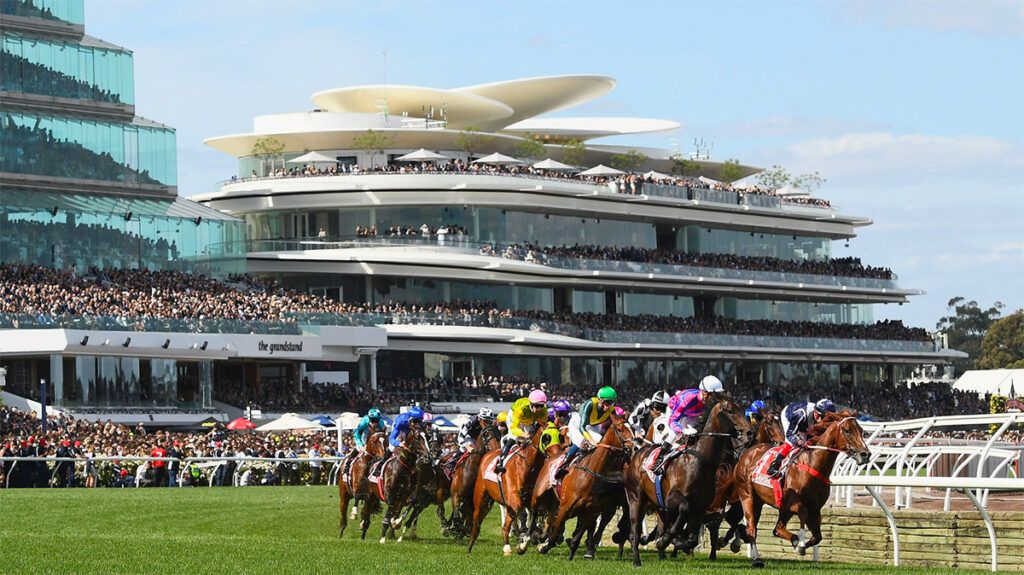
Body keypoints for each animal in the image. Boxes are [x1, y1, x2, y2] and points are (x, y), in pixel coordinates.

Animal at [466, 423, 548, 552]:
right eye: (546, 437)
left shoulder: (531, 499)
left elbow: (536, 515)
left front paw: (539, 540)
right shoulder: (513, 498)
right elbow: (524, 516)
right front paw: (526, 540)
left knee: (506, 525)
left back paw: (507, 547)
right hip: (481, 498)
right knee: (477, 521)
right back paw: (470, 546)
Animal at [618, 392, 757, 564]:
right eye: (730, 410)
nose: (750, 433)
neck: (701, 462)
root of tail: (636, 455)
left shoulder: (701, 507)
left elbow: (692, 538)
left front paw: (676, 543)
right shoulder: (673, 499)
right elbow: (684, 509)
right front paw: (667, 541)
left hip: (658, 505)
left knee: (659, 526)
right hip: (635, 499)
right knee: (635, 532)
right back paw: (637, 560)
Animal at [737, 409, 872, 564]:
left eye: (862, 431)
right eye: (847, 430)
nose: (865, 454)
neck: (814, 464)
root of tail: (747, 453)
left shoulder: (815, 509)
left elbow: (817, 537)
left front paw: (799, 545)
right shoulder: (792, 503)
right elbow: (802, 512)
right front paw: (800, 544)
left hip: (764, 503)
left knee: (777, 529)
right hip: (748, 496)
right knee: (751, 528)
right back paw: (757, 559)